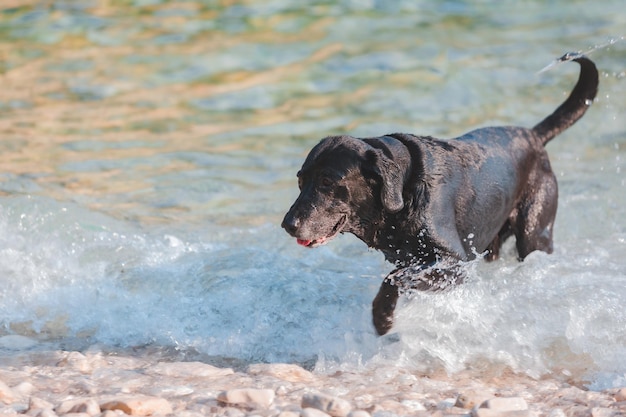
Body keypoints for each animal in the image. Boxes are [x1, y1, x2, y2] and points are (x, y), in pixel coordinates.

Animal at [280, 52, 596, 334]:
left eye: (327, 181)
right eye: (300, 180)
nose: (287, 225)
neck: (406, 191)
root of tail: (533, 136)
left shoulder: (454, 264)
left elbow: (395, 278)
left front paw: (383, 318)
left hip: (534, 233)